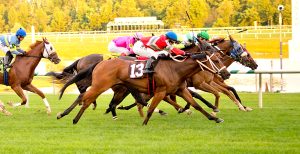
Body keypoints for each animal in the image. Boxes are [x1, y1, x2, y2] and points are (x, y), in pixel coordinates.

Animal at [59, 51, 230, 124]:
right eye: (216, 60)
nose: (226, 73)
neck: (175, 68)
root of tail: (101, 62)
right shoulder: (160, 91)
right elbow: (151, 108)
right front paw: (145, 123)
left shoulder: (181, 90)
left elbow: (197, 105)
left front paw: (215, 118)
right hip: (101, 86)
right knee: (85, 98)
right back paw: (70, 117)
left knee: (88, 99)